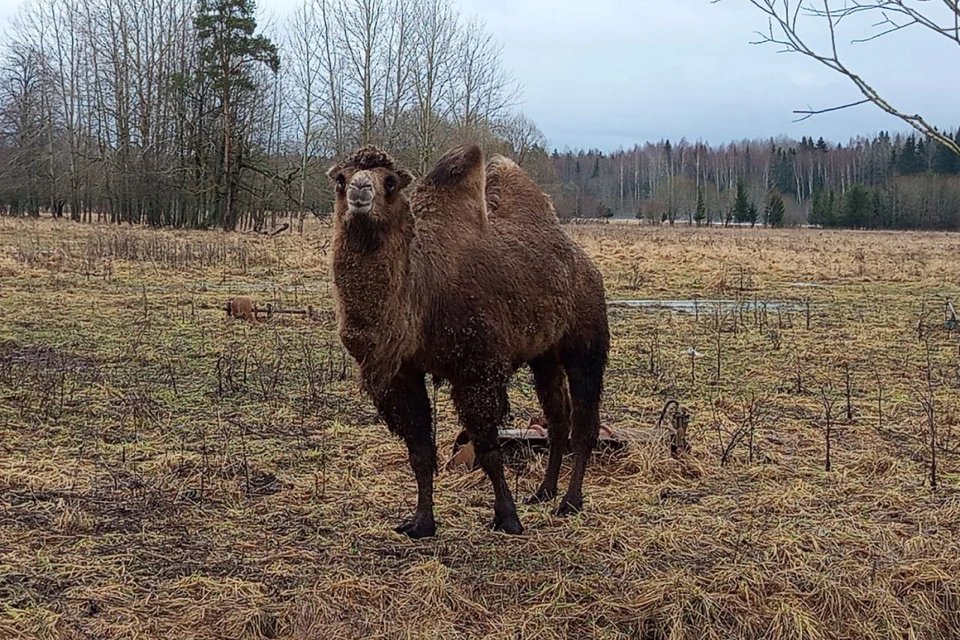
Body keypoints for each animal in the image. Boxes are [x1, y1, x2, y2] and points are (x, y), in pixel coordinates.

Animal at [328, 144, 608, 536]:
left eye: (391, 181)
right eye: (340, 178)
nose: (359, 190)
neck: (422, 289)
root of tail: (586, 265)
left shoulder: (477, 368)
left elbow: (488, 448)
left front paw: (507, 518)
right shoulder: (402, 374)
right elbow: (419, 451)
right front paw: (421, 522)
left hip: (586, 343)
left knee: (584, 422)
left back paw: (570, 502)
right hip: (544, 356)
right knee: (557, 419)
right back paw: (543, 492)